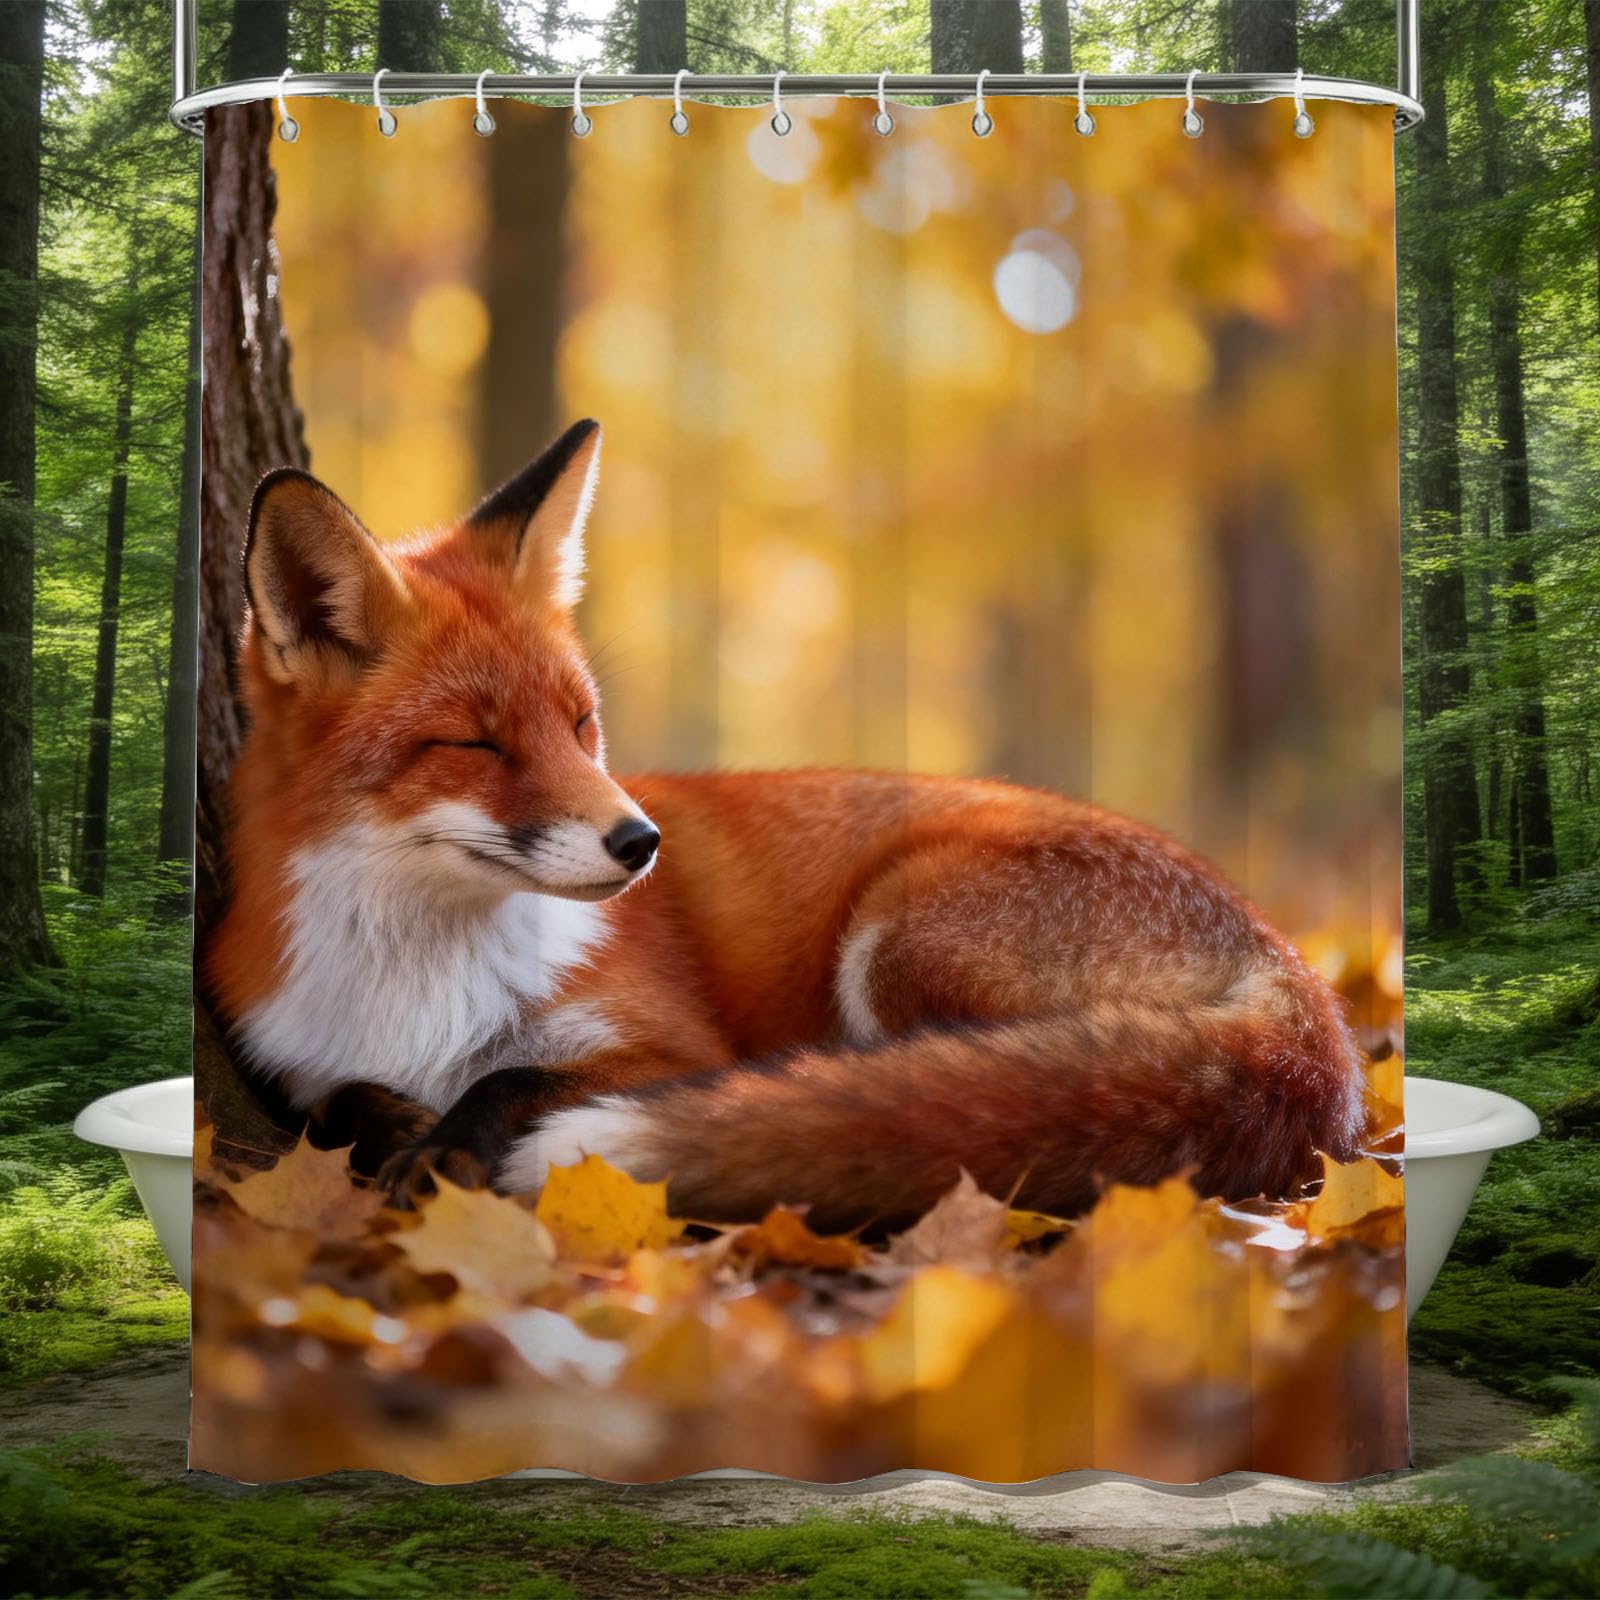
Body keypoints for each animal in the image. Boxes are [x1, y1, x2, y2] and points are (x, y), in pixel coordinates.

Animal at [206, 418, 1368, 1232]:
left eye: (581, 726)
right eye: (478, 745)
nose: (640, 843)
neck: (418, 977)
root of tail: (1297, 980)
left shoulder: (670, 1043)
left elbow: (511, 1078)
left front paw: (447, 1147)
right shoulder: (298, 1058)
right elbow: (343, 1101)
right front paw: (403, 1131)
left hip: (900, 932)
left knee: (965, 1103)